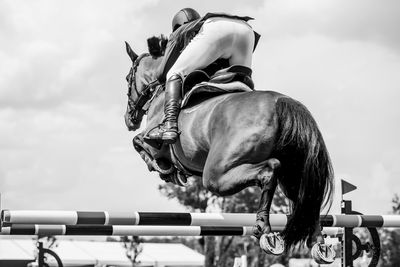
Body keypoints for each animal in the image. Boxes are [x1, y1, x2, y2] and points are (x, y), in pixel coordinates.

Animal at [124, 36, 334, 260]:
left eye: (128, 78)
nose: (129, 120)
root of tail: (283, 103)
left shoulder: (154, 140)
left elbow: (139, 143)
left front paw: (164, 169)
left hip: (216, 175)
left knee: (269, 170)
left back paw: (264, 229)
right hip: (293, 174)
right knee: (306, 199)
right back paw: (318, 244)